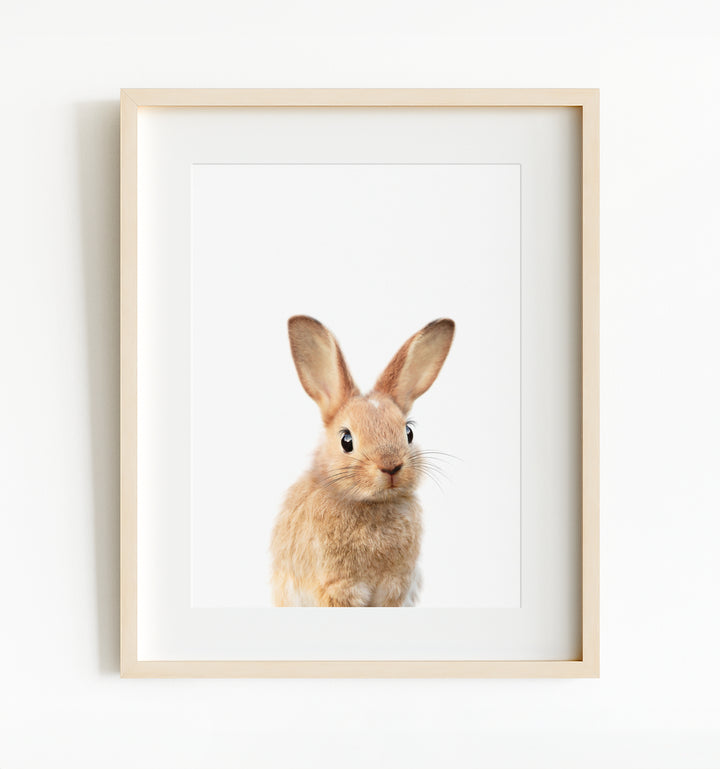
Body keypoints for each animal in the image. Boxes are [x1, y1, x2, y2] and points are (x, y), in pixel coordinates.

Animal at [270, 315, 455, 607]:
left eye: (409, 432)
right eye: (346, 440)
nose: (391, 466)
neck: (372, 504)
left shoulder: (396, 587)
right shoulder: (337, 587)